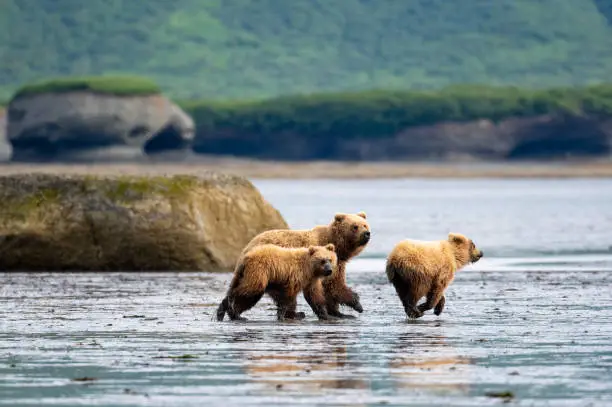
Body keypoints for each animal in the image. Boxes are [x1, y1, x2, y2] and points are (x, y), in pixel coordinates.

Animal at [237, 212, 370, 320]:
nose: (366, 234)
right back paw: (295, 314)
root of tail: (246, 249)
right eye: (355, 226)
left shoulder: (335, 264)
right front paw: (356, 305)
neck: (338, 247)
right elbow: (333, 286)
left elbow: (331, 286)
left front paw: (339, 312)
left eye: (365, 225)